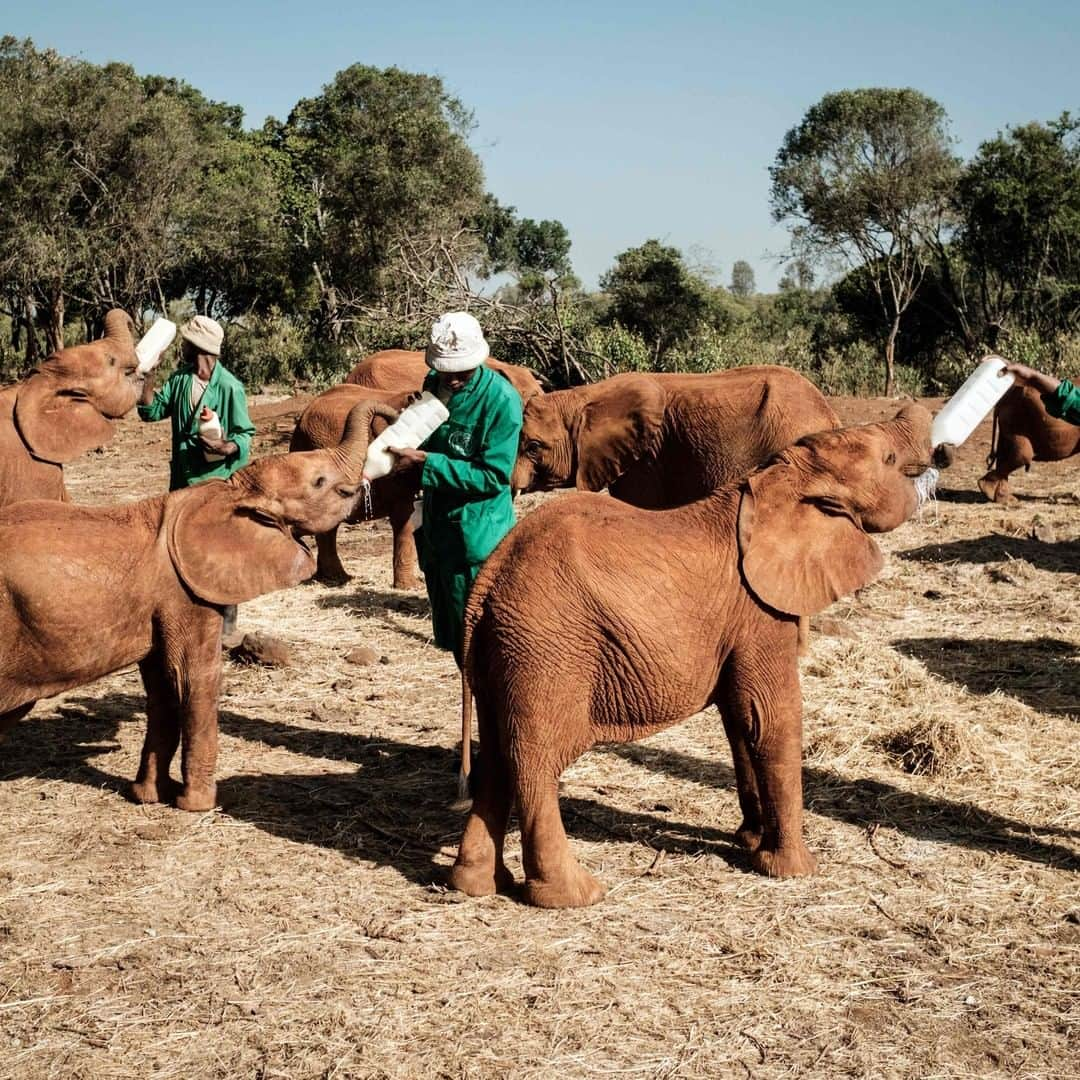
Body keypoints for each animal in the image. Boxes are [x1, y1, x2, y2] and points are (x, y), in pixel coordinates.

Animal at [0, 397, 397, 812]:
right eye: (319, 483)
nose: (394, 417)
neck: (229, 492)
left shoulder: (160, 602)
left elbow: (161, 687)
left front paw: (150, 797)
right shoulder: (186, 595)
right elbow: (194, 678)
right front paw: (198, 805)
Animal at [449, 403, 937, 902]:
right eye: (890, 459)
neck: (776, 480)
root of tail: (487, 582)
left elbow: (739, 719)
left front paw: (749, 842)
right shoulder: (760, 610)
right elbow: (771, 718)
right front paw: (794, 871)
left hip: (504, 651)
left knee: (496, 755)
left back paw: (476, 885)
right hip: (546, 650)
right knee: (535, 762)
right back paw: (576, 896)